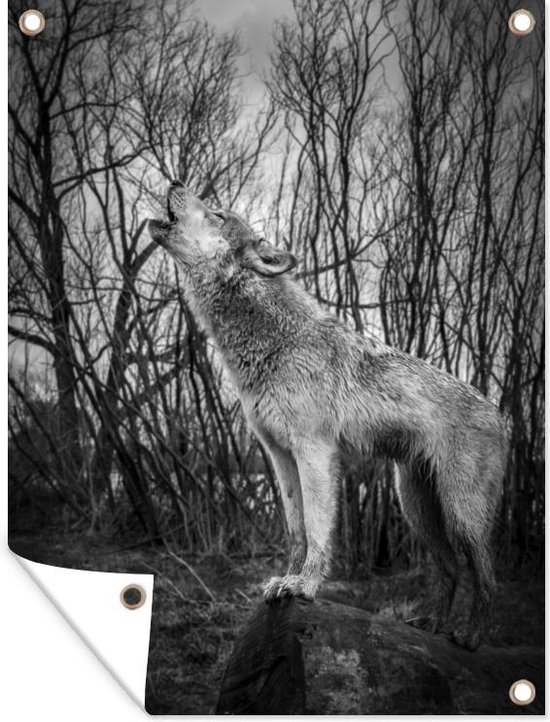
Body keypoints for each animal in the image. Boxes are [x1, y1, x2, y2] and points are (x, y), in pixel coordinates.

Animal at [149, 181, 507, 650]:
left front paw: (305, 586)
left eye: (219, 214)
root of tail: (502, 415)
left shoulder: (314, 452)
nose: (175, 182)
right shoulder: (279, 458)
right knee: (449, 568)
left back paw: (470, 637)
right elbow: (296, 531)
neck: (276, 341)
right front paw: (286, 579)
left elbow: (318, 529)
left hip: (460, 511)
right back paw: (432, 626)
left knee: (485, 574)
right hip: (416, 507)